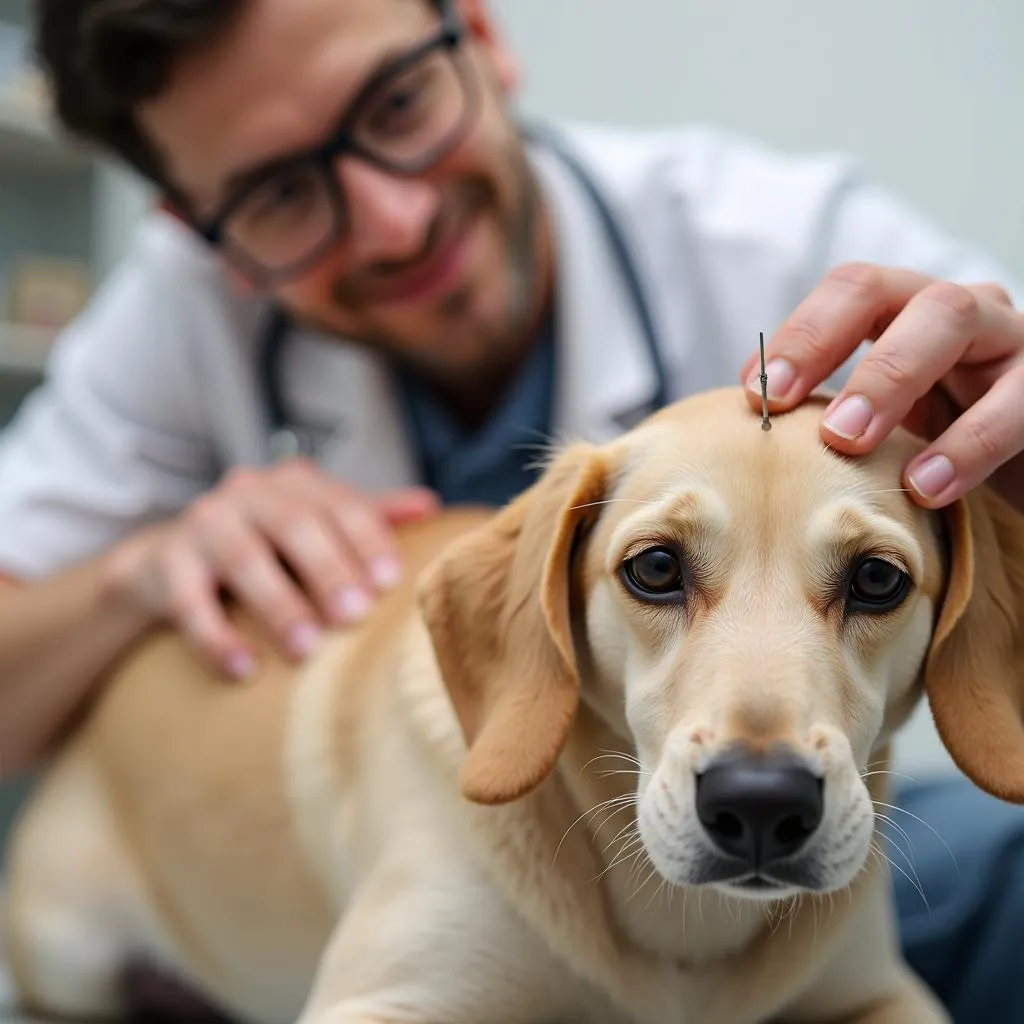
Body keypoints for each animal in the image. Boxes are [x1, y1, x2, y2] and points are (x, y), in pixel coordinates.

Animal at [2, 385, 1024, 1024]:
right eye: (656, 568)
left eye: (878, 580)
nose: (762, 806)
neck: (682, 937)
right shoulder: (381, 999)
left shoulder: (883, 995)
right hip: (69, 953)